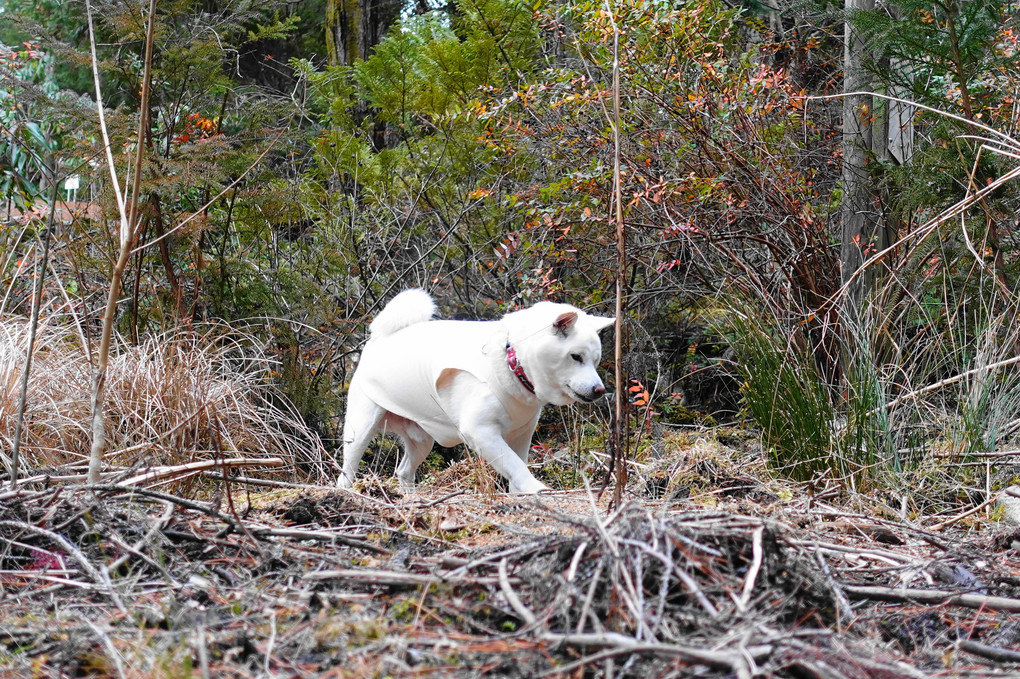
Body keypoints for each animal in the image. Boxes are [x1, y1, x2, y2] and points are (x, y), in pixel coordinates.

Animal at [340, 287, 612, 491]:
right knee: (347, 473)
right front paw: (536, 489)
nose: (599, 390)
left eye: (596, 360)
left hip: (421, 440)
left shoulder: (522, 434)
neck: (512, 360)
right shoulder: (480, 432)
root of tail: (376, 339)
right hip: (360, 430)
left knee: (404, 471)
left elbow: (518, 467)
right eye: (575, 357)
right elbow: (515, 466)